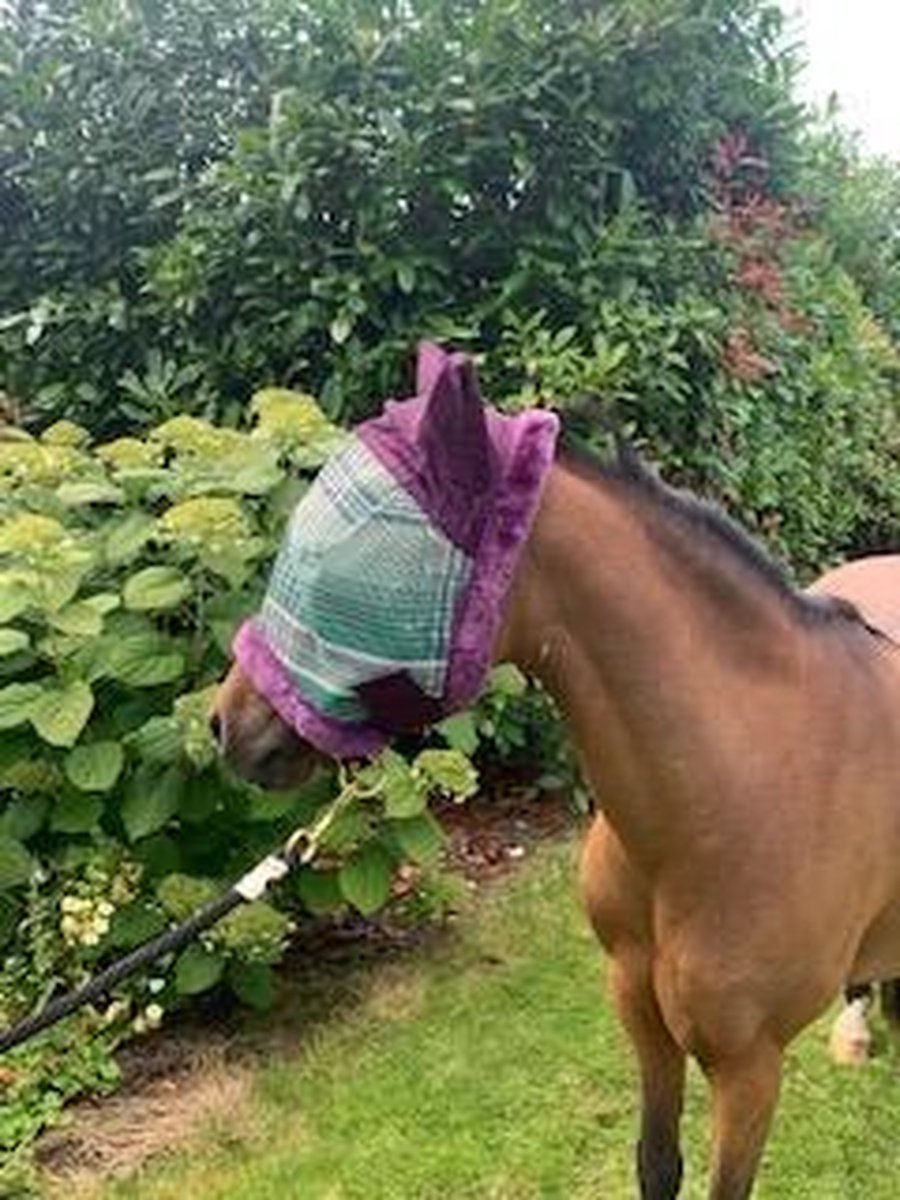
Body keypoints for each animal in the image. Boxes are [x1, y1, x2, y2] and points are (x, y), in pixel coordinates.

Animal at [212, 346, 900, 1199]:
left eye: (355, 566)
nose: (227, 726)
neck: (734, 796)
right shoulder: (638, 1009)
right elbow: (656, 1166)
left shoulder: (749, 1069)